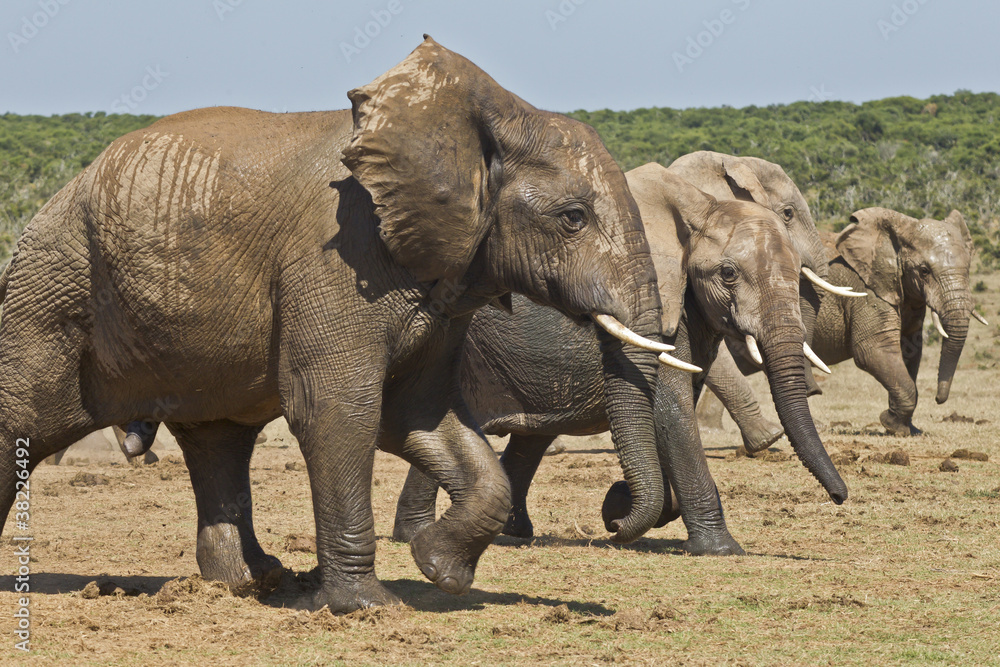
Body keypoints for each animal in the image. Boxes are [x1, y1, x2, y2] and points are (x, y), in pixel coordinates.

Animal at [0, 37, 684, 613]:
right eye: (573, 218)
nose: (614, 515)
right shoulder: (334, 258)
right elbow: (338, 410)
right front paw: (370, 607)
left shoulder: (443, 289)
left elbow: (420, 415)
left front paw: (441, 569)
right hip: (51, 289)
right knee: (22, 421)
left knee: (219, 438)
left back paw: (251, 584)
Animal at [393, 162, 848, 556]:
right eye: (729, 274)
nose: (840, 496)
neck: (698, 207)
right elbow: (670, 408)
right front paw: (720, 550)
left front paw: (622, 505)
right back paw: (417, 534)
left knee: (530, 438)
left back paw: (513, 532)